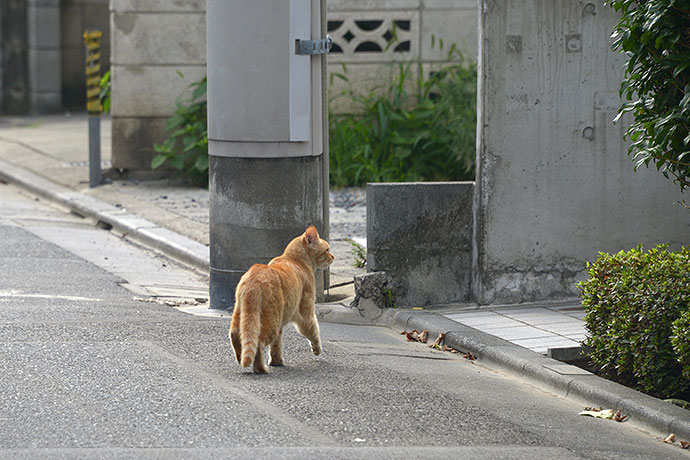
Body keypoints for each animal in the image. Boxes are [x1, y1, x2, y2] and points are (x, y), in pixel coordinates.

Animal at [228, 226, 334, 374]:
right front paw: (317, 349)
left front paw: (277, 361)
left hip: (242, 313)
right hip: (271, 320)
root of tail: (254, 280)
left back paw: (240, 357)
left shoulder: (282, 325)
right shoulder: (306, 315)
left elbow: (276, 345)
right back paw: (261, 369)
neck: (296, 261)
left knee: (235, 334)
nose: (333, 257)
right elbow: (314, 331)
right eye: (327, 250)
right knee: (259, 344)